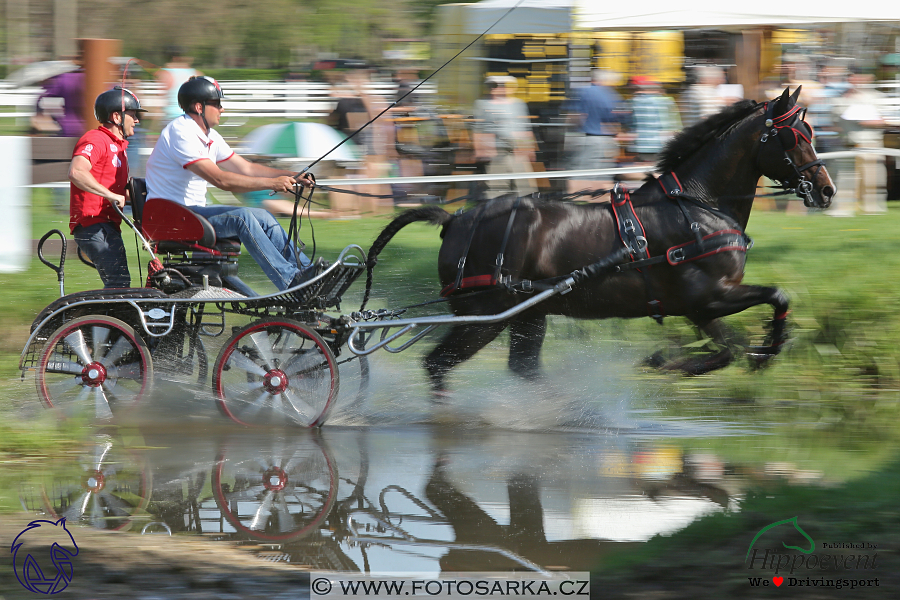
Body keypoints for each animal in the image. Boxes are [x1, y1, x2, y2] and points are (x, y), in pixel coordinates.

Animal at [364, 85, 836, 394]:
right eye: (796, 136)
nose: (827, 189)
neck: (698, 205)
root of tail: (455, 219)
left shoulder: (698, 308)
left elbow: (731, 348)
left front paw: (675, 361)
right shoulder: (709, 298)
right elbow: (773, 301)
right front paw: (757, 350)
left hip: (527, 315)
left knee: (521, 370)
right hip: (485, 315)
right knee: (437, 365)